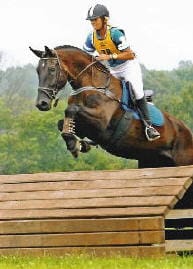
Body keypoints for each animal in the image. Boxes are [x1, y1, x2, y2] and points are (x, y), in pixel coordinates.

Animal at [29, 45, 193, 168]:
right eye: (37, 71)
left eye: (51, 69)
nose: (41, 103)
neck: (92, 85)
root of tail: (187, 130)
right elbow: (62, 123)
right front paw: (79, 144)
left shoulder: (101, 121)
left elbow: (71, 109)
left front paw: (74, 144)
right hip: (150, 162)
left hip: (182, 161)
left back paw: (151, 131)